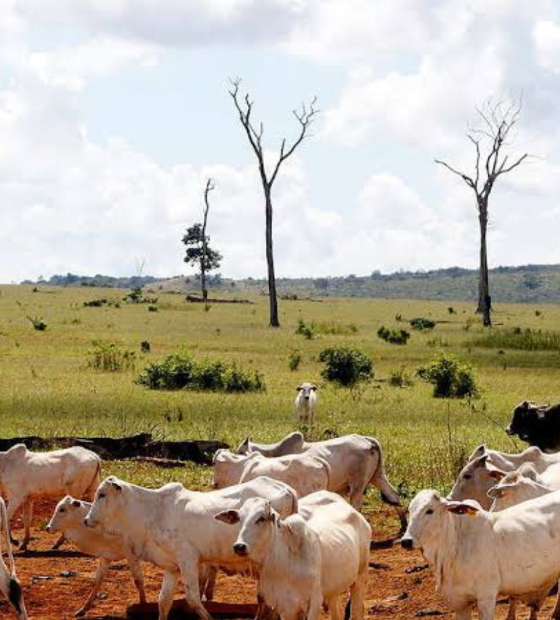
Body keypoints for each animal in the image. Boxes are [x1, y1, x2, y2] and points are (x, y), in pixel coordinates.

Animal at [83, 474, 298, 620]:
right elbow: (163, 602)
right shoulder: (172, 567)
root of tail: (286, 488)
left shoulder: (188, 560)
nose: (86, 520)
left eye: (102, 494)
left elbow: (193, 599)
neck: (153, 511)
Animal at [217, 494, 370, 620]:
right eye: (239, 519)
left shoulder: (314, 603)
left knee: (356, 612)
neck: (283, 563)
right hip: (333, 591)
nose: (239, 546)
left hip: (360, 579)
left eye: (261, 518)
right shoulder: (285, 607)